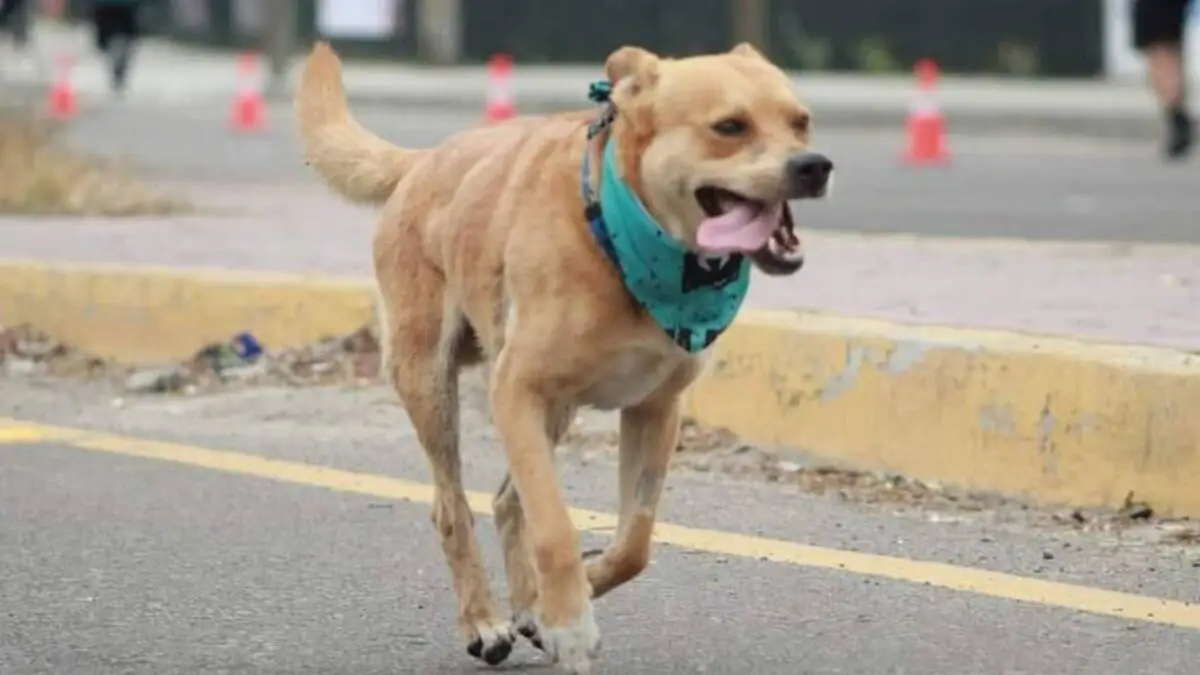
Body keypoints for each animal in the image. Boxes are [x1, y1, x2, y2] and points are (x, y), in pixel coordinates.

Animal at [295, 39, 830, 667]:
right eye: (730, 126)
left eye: (801, 122)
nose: (814, 165)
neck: (625, 237)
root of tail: (425, 161)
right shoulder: (515, 391)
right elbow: (553, 527)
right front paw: (571, 620)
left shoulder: (654, 411)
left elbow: (634, 541)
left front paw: (577, 592)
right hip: (431, 384)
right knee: (453, 507)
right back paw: (484, 620)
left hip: (554, 411)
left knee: (507, 501)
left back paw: (530, 607)